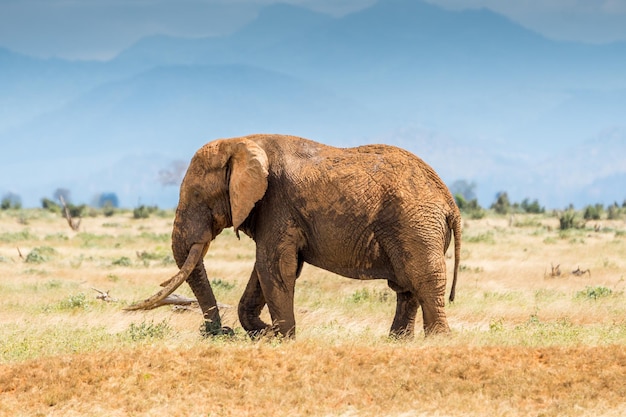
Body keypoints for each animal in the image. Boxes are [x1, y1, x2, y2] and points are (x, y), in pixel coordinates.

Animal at [127, 133, 458, 338]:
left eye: (197, 195)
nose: (222, 332)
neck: (240, 142)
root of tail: (449, 200)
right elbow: (263, 271)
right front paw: (264, 333)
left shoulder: (276, 202)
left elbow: (274, 267)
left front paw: (282, 338)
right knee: (406, 286)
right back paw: (397, 341)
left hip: (416, 224)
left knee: (423, 279)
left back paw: (437, 341)